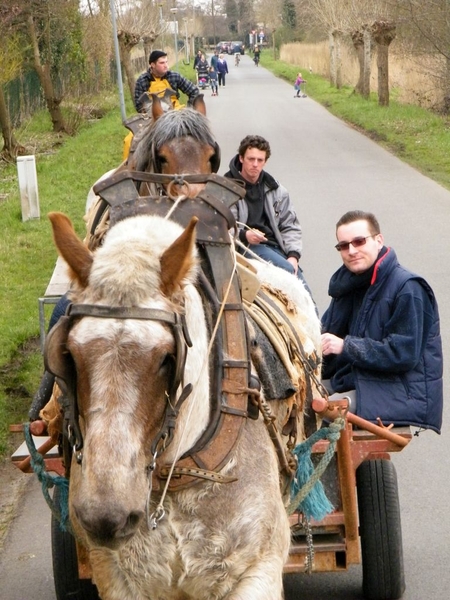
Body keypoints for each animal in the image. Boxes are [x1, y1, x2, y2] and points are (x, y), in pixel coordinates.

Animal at [44, 207, 322, 600]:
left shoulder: (258, 570)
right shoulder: (116, 577)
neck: (175, 477)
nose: (105, 515)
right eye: (68, 353)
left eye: (166, 358)